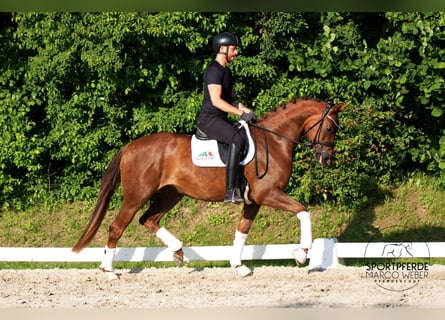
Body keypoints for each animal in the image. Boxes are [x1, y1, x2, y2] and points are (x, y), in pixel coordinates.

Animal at [72, 97, 346, 278]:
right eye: (329, 127)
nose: (326, 159)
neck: (274, 140)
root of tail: (129, 146)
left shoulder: (254, 201)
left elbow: (242, 232)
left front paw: (238, 266)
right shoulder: (268, 194)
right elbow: (303, 211)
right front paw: (301, 254)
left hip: (170, 194)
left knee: (148, 219)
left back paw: (178, 252)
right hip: (136, 196)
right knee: (117, 226)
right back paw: (108, 271)